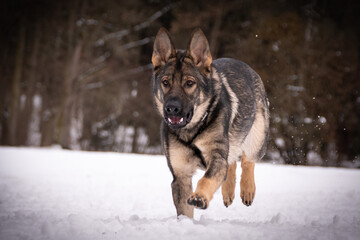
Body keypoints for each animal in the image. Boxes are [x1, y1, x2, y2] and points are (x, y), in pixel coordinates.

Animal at [150, 27, 268, 218]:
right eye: (165, 82)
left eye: (189, 83)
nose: (171, 108)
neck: (192, 130)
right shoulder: (181, 175)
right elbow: (185, 211)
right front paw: (185, 223)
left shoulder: (216, 157)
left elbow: (207, 178)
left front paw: (200, 196)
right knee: (231, 163)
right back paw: (228, 191)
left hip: (257, 137)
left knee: (248, 161)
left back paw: (247, 189)